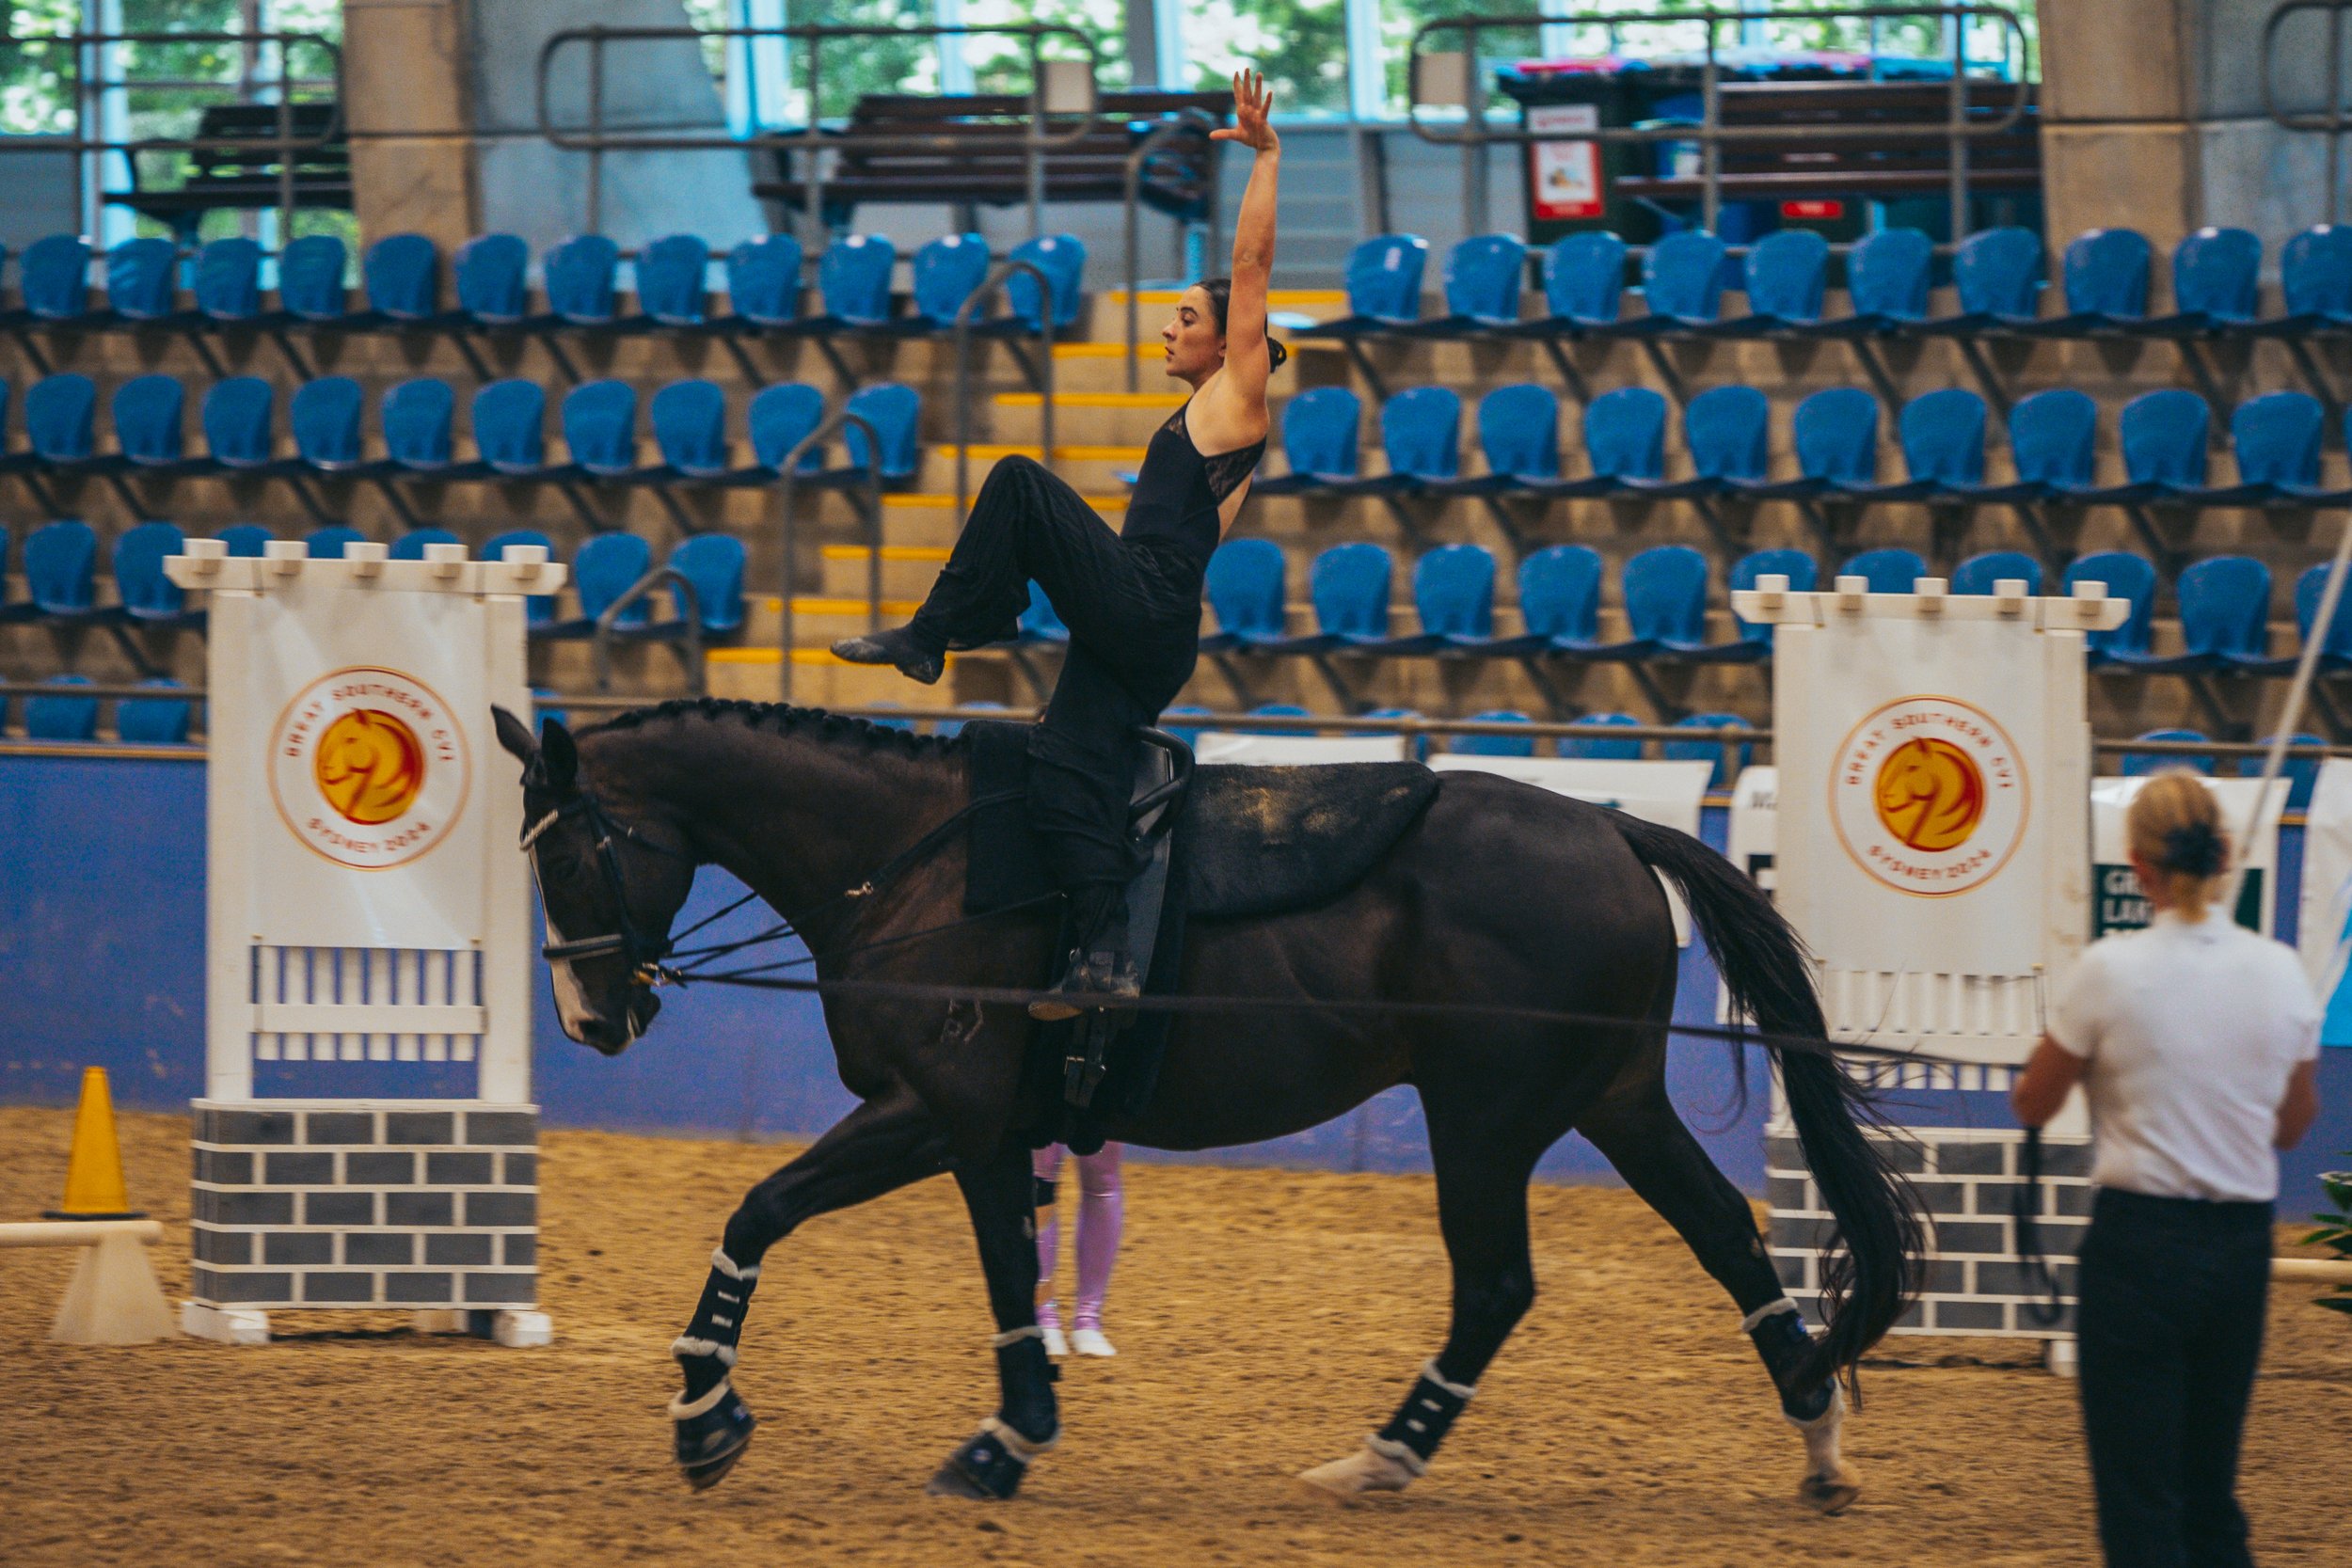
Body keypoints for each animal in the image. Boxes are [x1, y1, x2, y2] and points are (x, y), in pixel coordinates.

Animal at [492, 699, 1919, 1509]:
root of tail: (1614, 828)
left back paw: (1386, 1454)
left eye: (567, 855)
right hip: (1610, 1098)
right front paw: (1007, 1436)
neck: (926, 863)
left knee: (1498, 1284)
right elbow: (1004, 1275)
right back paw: (1819, 1440)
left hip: (1486, 1117)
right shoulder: (988, 1132)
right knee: (1725, 1236)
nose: (590, 1020)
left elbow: (768, 1209)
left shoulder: (932, 1108)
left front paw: (707, 1412)